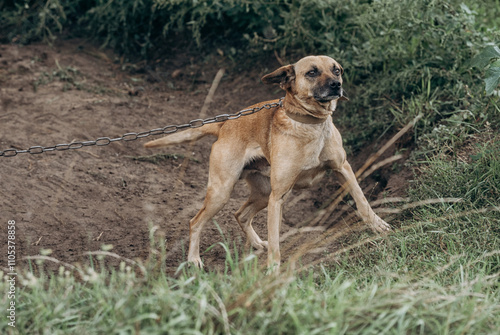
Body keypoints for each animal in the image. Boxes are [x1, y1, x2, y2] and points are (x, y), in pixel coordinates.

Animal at [145, 55, 390, 270]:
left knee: (240, 215)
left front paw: (378, 225)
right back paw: (193, 259)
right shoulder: (278, 197)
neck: (310, 124)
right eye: (312, 72)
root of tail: (224, 125)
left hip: (262, 193)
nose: (336, 85)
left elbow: (362, 201)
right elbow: (275, 241)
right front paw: (273, 269)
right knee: (195, 222)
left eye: (336, 70)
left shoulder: (342, 168)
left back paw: (255, 243)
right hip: (222, 193)